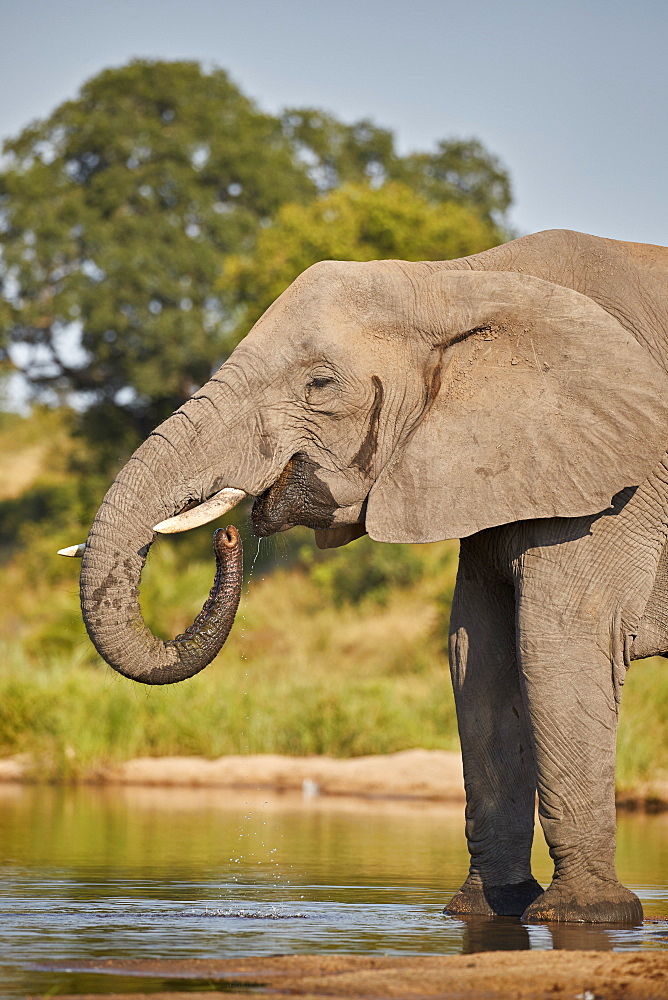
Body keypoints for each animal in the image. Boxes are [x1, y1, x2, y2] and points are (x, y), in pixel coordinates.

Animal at [64, 227, 668, 920]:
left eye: (321, 383)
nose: (228, 534)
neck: (458, 278)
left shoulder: (617, 486)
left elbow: (559, 641)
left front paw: (585, 916)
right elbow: (475, 652)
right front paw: (484, 911)